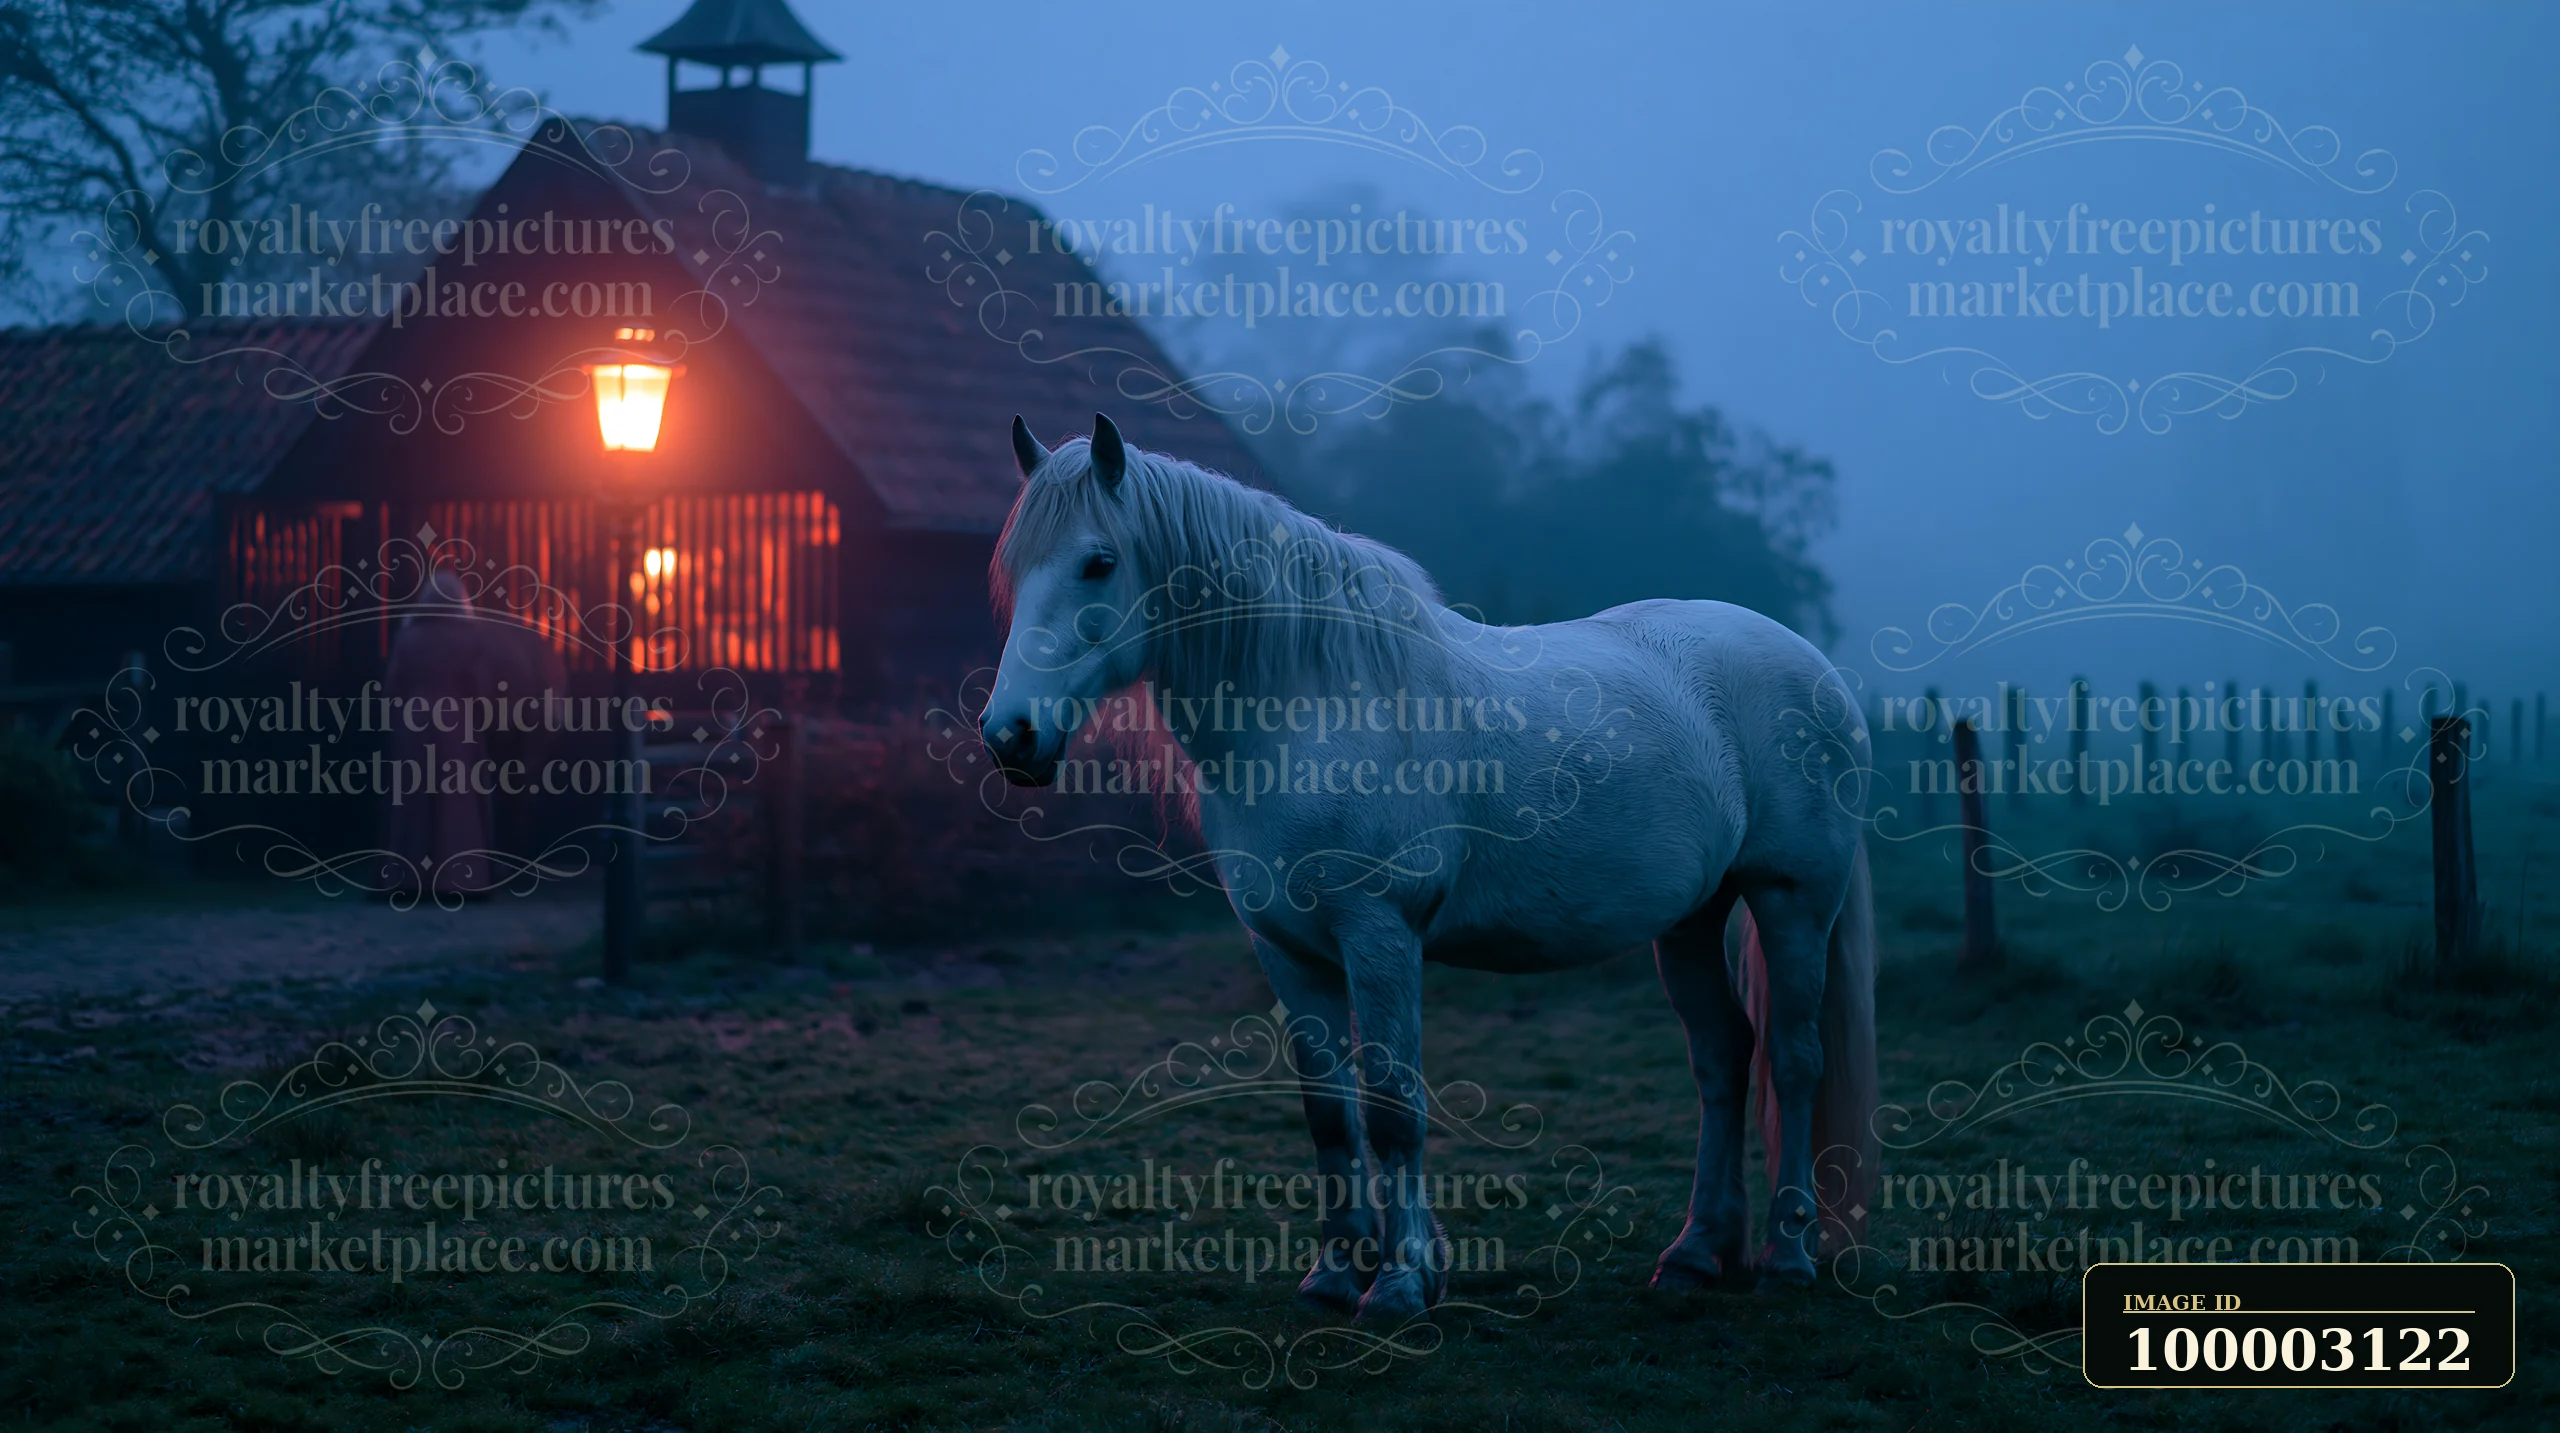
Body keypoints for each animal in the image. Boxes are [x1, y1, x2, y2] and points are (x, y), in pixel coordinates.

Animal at [979, 413, 1877, 1324]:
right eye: (1014, 564)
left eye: (1099, 561)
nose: (1012, 736)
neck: (1314, 707)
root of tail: (1816, 668)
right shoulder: (1287, 949)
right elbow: (1330, 1116)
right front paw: (1335, 1272)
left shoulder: (1380, 936)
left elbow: (1393, 1110)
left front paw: (1403, 1280)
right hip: (1692, 920)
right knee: (1724, 1057)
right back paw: (1696, 1252)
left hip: (1791, 899)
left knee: (1793, 1058)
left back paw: (1788, 1252)